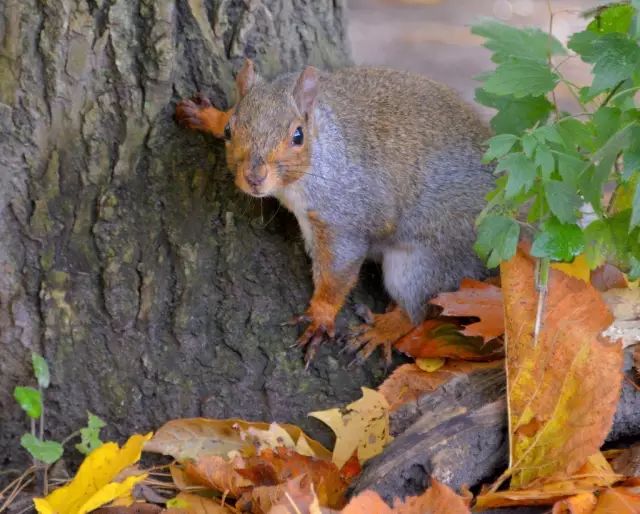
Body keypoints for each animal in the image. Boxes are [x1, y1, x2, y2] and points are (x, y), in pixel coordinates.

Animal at [175, 59, 496, 364]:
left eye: (298, 136)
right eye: (230, 130)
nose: (254, 176)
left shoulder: (342, 218)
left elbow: (338, 270)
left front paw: (320, 315)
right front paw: (207, 116)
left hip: (426, 260)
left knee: (418, 305)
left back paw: (383, 329)